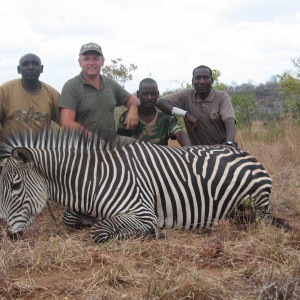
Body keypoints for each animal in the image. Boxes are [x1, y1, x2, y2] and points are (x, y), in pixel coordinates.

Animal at [0, 127, 276, 244]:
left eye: (15, 186)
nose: (10, 236)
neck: (96, 177)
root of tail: (246, 153)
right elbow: (73, 218)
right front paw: (85, 220)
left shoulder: (143, 213)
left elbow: (100, 232)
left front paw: (154, 234)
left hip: (251, 209)